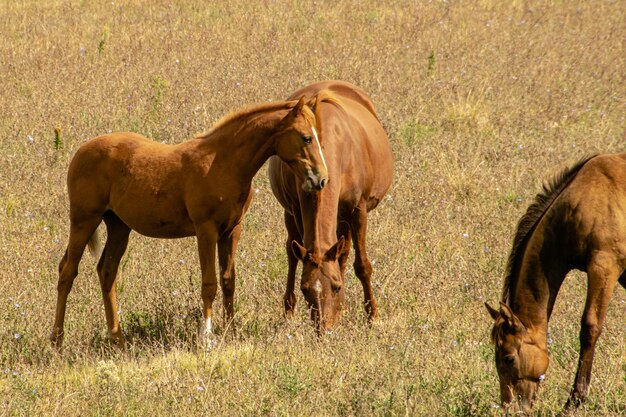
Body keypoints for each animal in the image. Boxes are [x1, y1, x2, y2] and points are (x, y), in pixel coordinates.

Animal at [51, 97, 330, 348]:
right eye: (306, 137)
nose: (321, 180)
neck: (223, 163)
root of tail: (81, 151)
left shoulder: (232, 230)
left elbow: (228, 281)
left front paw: (230, 330)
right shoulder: (206, 229)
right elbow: (209, 283)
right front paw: (206, 337)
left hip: (119, 226)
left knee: (107, 271)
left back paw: (117, 339)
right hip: (84, 220)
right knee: (67, 271)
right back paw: (57, 340)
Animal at [266, 80, 392, 332]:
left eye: (336, 286)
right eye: (305, 289)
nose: (324, 329)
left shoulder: (357, 211)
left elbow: (362, 265)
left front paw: (373, 316)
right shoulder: (297, 210)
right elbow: (297, 254)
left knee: (343, 253)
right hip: (292, 214)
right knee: (292, 252)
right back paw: (289, 312)